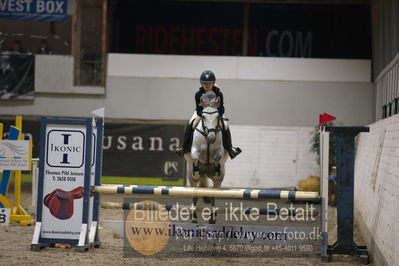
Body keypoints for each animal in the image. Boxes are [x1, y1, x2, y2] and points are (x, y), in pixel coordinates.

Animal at [184, 92, 228, 223]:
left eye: (218, 116)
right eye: (203, 117)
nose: (211, 138)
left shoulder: (219, 150)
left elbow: (218, 157)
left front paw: (215, 167)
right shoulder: (194, 149)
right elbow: (195, 156)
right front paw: (196, 168)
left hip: (219, 180)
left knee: (214, 193)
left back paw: (212, 217)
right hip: (191, 178)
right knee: (195, 193)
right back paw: (193, 217)